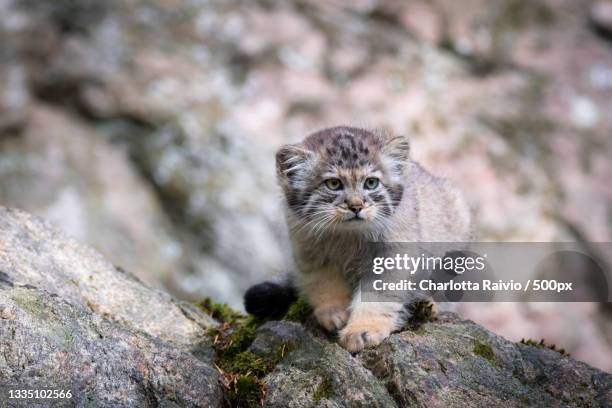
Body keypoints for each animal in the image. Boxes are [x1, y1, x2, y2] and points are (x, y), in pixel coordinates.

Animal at [241, 126, 470, 352]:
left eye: (371, 183)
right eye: (333, 184)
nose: (356, 206)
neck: (348, 237)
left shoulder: (391, 257)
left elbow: (377, 295)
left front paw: (362, 330)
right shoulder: (310, 253)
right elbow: (323, 285)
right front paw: (333, 314)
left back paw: (430, 306)